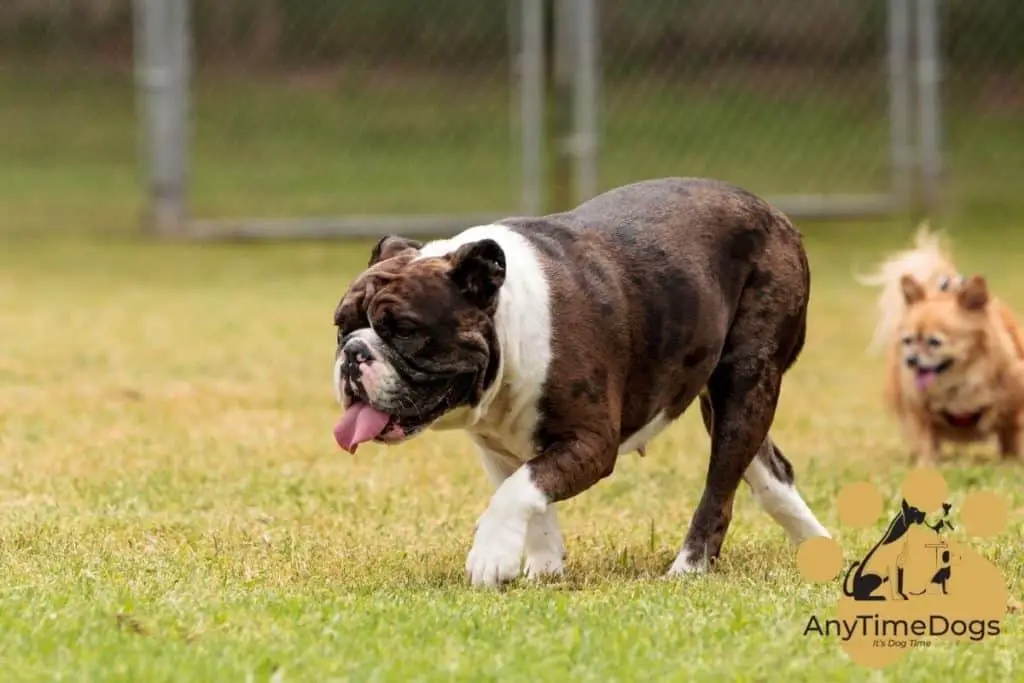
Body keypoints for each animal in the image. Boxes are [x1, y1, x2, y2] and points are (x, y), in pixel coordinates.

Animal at [864, 227, 1024, 466]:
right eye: (908, 341)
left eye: (934, 342)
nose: (910, 360)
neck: (958, 384)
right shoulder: (919, 413)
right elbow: (926, 441)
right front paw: (926, 466)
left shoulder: (1015, 407)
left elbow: (1014, 435)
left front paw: (1013, 464)